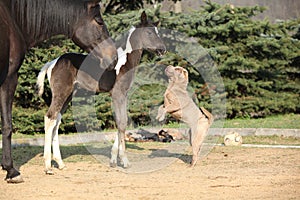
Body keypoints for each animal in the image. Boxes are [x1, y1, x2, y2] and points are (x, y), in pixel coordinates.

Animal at [0, 0, 117, 183]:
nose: (114, 57)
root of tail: (51, 63)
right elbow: (7, 125)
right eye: (99, 21)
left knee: (55, 120)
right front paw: (11, 171)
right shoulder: (9, 78)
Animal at [37, 11, 166, 173]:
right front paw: (123, 160)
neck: (124, 63)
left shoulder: (123, 95)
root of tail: (52, 63)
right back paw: (48, 166)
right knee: (49, 118)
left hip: (67, 96)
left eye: (157, 32)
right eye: (149, 32)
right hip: (61, 93)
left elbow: (122, 122)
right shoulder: (118, 95)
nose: (163, 49)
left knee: (56, 121)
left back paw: (60, 163)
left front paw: (114, 160)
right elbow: (121, 123)